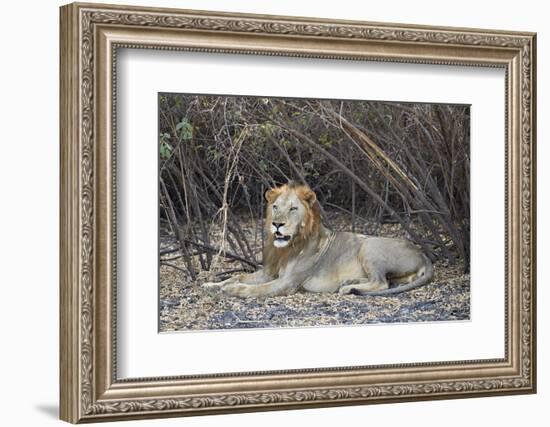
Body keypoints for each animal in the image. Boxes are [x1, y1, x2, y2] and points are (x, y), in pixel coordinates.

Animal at [203, 182, 436, 300]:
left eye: (293, 209)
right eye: (275, 207)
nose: (277, 224)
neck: (288, 248)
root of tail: (423, 254)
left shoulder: (288, 282)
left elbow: (256, 289)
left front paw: (234, 290)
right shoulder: (269, 272)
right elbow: (238, 276)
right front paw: (212, 284)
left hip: (369, 246)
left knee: (382, 282)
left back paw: (347, 289)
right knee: (391, 281)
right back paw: (349, 282)